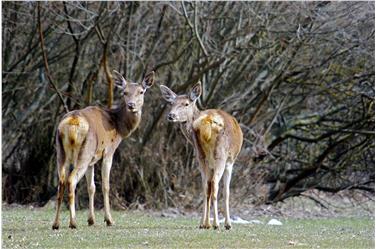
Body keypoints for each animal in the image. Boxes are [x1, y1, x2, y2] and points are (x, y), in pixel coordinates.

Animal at [51, 70, 154, 230]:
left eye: (141, 92)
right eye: (124, 92)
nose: (131, 105)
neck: (119, 128)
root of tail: (72, 124)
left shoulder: (92, 160)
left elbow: (91, 187)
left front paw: (91, 220)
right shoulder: (108, 152)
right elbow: (106, 185)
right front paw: (109, 220)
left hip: (61, 152)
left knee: (61, 182)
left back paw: (56, 224)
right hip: (84, 153)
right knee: (71, 180)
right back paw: (73, 222)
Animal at [159, 82, 242, 230]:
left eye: (186, 104)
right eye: (171, 103)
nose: (171, 115)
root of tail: (207, 121)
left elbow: (207, 188)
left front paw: (204, 223)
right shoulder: (230, 162)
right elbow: (226, 192)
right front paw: (228, 224)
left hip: (201, 157)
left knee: (205, 187)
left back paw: (205, 224)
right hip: (220, 155)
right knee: (214, 185)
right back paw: (216, 224)